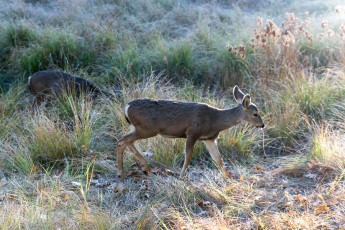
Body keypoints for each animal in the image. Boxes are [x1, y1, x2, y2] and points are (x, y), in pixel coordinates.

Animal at [117, 85, 264, 179]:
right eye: (255, 114)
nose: (262, 125)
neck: (215, 120)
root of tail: (126, 107)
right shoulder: (192, 132)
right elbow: (188, 155)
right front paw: (182, 176)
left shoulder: (209, 138)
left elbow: (218, 158)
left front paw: (228, 175)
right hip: (147, 128)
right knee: (122, 141)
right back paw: (133, 170)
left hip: (139, 128)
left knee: (125, 141)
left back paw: (135, 170)